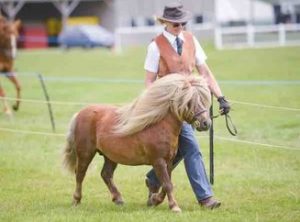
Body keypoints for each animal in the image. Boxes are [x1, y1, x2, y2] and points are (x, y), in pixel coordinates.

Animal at [61, 73, 211, 212]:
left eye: (204, 100)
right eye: (189, 101)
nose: (206, 123)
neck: (158, 125)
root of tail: (79, 114)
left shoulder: (168, 161)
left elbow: (167, 184)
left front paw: (155, 200)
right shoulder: (158, 161)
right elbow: (167, 184)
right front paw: (174, 207)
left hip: (110, 156)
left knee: (106, 174)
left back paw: (118, 199)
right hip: (85, 153)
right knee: (80, 174)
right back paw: (76, 200)